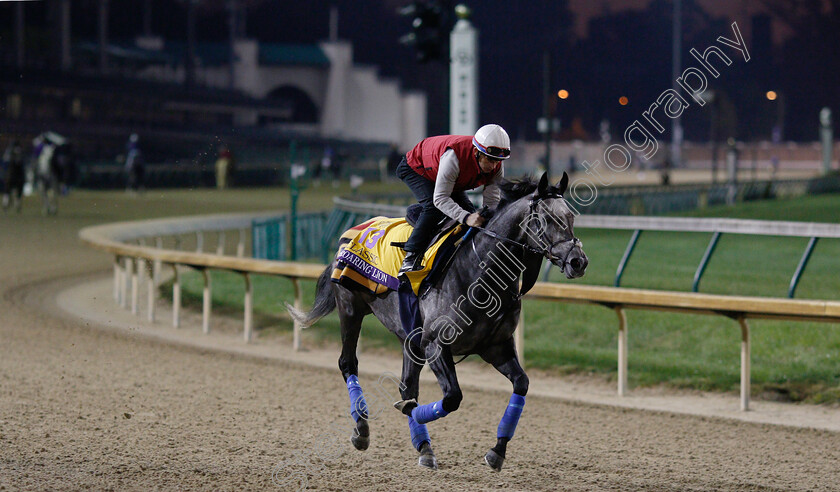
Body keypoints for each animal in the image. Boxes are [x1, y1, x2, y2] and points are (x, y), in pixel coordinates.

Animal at [286, 171, 588, 470]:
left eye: (571, 217)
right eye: (549, 219)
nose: (578, 262)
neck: (481, 273)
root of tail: (352, 232)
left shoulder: (496, 347)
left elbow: (521, 384)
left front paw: (497, 450)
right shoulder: (435, 345)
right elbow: (452, 397)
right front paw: (407, 411)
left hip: (408, 338)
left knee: (408, 383)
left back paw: (424, 446)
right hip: (350, 308)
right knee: (348, 363)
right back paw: (362, 428)